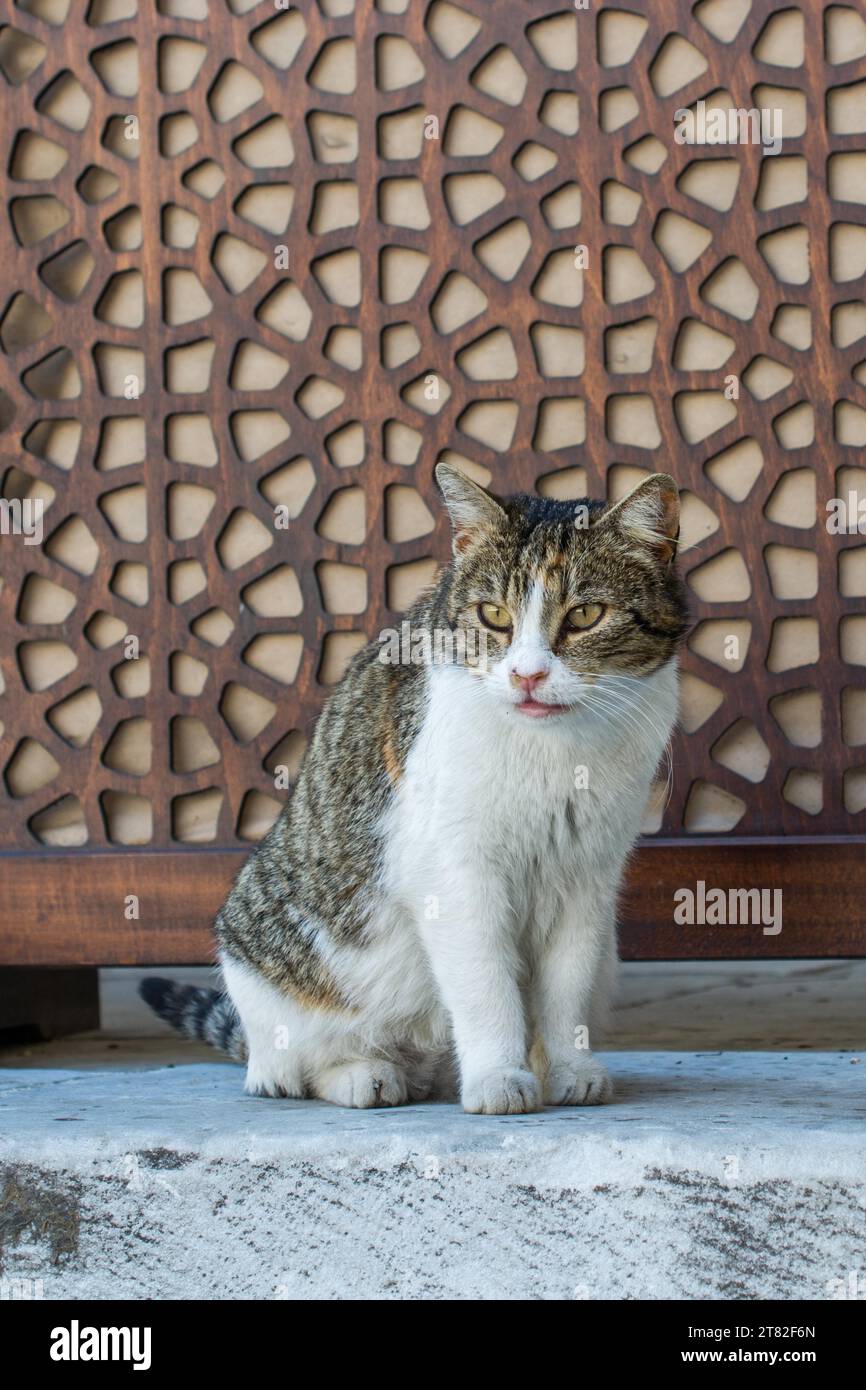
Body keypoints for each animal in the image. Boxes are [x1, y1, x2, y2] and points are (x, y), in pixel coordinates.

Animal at [142, 467, 686, 1117]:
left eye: (585, 615)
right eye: (493, 614)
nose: (527, 675)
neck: (554, 753)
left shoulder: (587, 875)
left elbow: (566, 988)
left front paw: (567, 1066)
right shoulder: (454, 871)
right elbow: (484, 985)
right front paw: (498, 1076)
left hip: (609, 951)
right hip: (271, 961)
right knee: (290, 1066)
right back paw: (365, 1075)